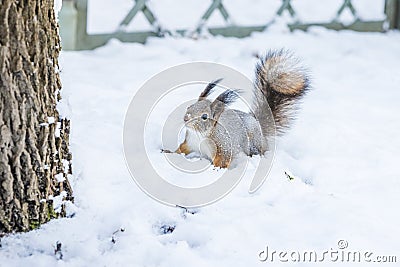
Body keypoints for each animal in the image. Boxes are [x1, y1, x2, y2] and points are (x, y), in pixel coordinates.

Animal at [162, 49, 310, 169]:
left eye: (204, 116)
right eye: (189, 107)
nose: (186, 118)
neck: (201, 135)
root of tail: (259, 128)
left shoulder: (223, 147)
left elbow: (223, 160)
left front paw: (215, 170)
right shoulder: (190, 142)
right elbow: (182, 149)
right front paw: (168, 152)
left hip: (252, 143)